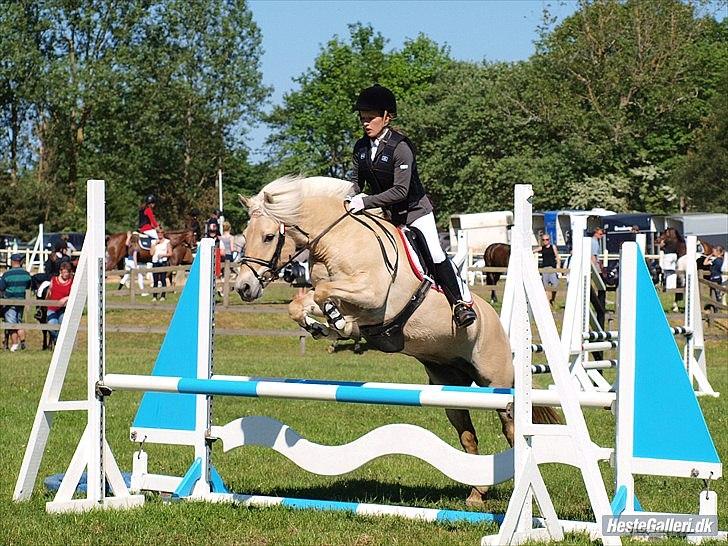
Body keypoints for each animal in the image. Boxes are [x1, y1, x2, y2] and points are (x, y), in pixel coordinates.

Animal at [236, 174, 560, 506]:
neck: (339, 240)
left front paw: (338, 324)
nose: (243, 287)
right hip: (449, 387)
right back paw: (477, 493)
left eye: (269, 237)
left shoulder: (372, 296)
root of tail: (496, 324)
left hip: (495, 382)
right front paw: (322, 327)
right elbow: (302, 304)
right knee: (468, 436)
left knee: (511, 428)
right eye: (244, 236)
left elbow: (326, 294)